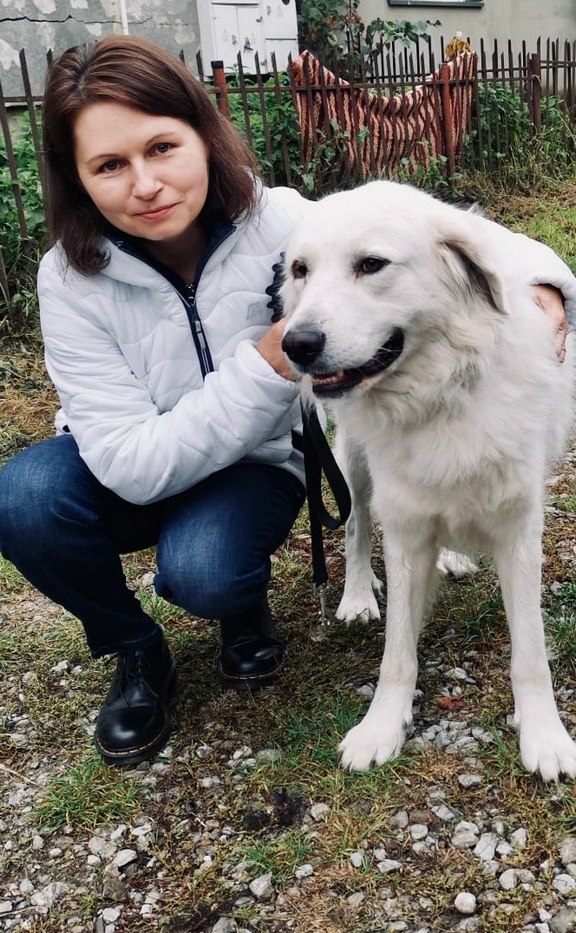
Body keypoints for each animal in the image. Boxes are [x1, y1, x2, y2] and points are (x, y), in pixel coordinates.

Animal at [280, 180, 576, 781]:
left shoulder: (519, 531)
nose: (296, 344)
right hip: (354, 466)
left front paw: (545, 737)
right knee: (355, 528)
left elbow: (531, 653)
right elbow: (397, 652)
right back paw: (355, 596)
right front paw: (381, 728)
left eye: (371, 264)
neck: (439, 393)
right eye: (300, 270)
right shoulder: (407, 530)